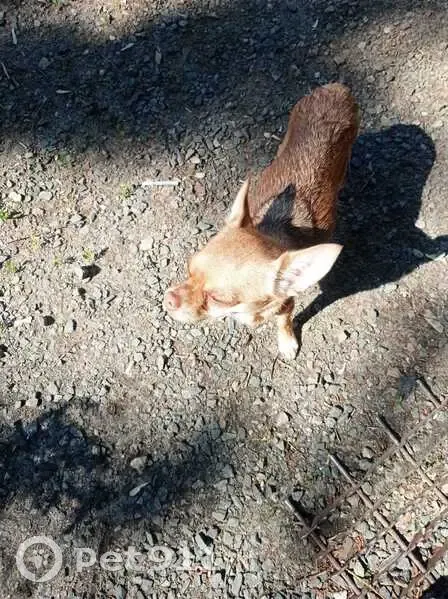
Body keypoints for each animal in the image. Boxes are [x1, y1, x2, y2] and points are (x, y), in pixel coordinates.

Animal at [164, 83, 359, 359]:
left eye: (218, 299)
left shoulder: (286, 304)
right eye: (188, 269)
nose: (168, 299)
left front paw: (286, 342)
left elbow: (283, 321)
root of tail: (336, 88)